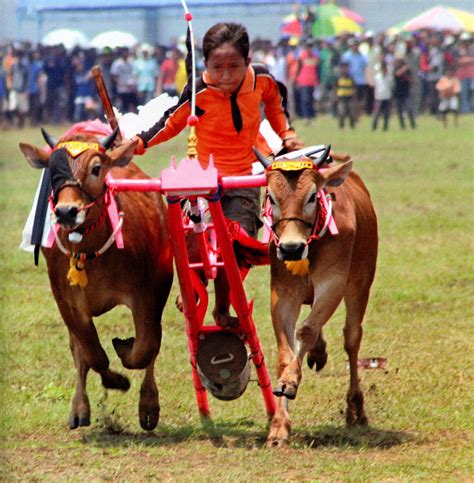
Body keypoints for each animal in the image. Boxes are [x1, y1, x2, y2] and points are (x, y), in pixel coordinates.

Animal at [19, 130, 174, 432]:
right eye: (52, 170)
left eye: (96, 168)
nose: (67, 211)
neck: (92, 253)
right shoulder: (67, 302)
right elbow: (92, 354)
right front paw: (116, 381)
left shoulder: (150, 293)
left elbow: (144, 349)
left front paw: (128, 357)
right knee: (80, 353)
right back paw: (79, 408)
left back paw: (148, 404)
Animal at [256, 149, 378, 448]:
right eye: (271, 197)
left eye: (312, 196)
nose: (290, 248)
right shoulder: (283, 293)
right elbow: (286, 351)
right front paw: (279, 426)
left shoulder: (333, 284)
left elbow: (307, 329)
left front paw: (290, 381)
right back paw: (317, 353)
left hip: (360, 285)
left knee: (352, 339)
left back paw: (356, 409)